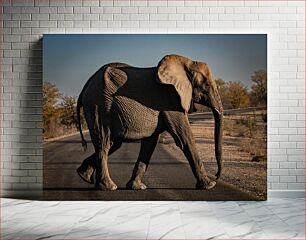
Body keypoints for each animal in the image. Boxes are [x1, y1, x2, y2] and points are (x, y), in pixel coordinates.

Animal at [75, 54, 224, 191]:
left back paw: (84, 176)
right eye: (206, 85)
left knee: (113, 143)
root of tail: (85, 87)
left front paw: (137, 187)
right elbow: (185, 137)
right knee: (104, 142)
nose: (216, 175)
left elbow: (150, 143)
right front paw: (210, 185)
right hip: (98, 106)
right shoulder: (171, 99)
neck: (187, 62)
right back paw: (109, 186)